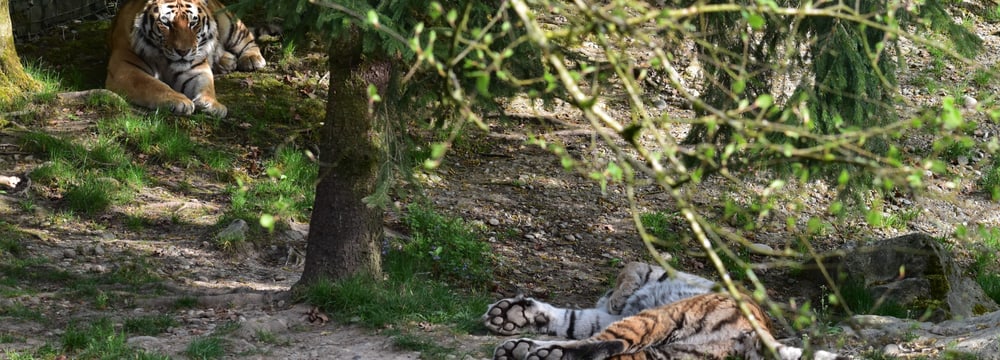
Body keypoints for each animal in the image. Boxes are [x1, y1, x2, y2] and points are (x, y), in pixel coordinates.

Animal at [106, 0, 266, 118]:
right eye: (166, 23)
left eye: (193, 23)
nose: (183, 51)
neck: (164, 59)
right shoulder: (125, 69)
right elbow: (153, 84)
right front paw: (179, 100)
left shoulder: (197, 69)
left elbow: (207, 86)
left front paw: (212, 104)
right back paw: (227, 61)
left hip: (230, 24)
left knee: (248, 39)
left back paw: (252, 59)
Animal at [484, 262, 844, 360]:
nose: (608, 298)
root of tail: (759, 331)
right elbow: (574, 319)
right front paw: (510, 315)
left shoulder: (649, 273)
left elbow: (629, 269)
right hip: (672, 354)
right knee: (612, 350)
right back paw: (527, 350)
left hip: (663, 317)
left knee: (606, 343)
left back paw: (534, 351)